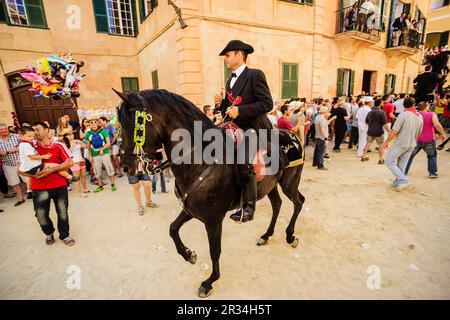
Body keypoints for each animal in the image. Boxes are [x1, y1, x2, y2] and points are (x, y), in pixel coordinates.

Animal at [116, 88, 306, 298]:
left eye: (134, 126)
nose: (125, 166)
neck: (199, 160)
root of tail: (292, 135)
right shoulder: (191, 210)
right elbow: (172, 229)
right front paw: (188, 255)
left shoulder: (213, 219)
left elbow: (215, 250)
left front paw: (209, 282)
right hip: (270, 186)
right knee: (277, 205)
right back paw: (266, 236)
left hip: (289, 183)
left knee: (298, 202)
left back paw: (290, 236)